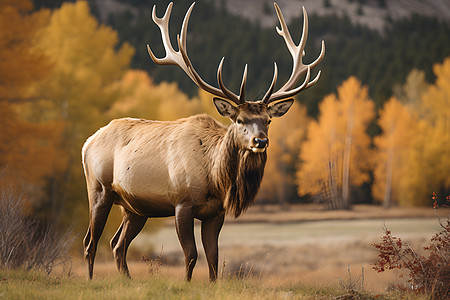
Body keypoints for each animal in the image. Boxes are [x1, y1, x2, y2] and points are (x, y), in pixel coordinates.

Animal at [82, 1, 326, 282]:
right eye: (239, 119)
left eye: (268, 120)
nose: (260, 141)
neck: (215, 177)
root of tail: (87, 142)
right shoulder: (182, 202)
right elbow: (191, 254)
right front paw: (186, 284)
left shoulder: (215, 212)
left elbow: (213, 257)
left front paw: (212, 284)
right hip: (99, 189)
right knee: (90, 241)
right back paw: (90, 280)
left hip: (135, 207)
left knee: (117, 244)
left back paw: (127, 280)